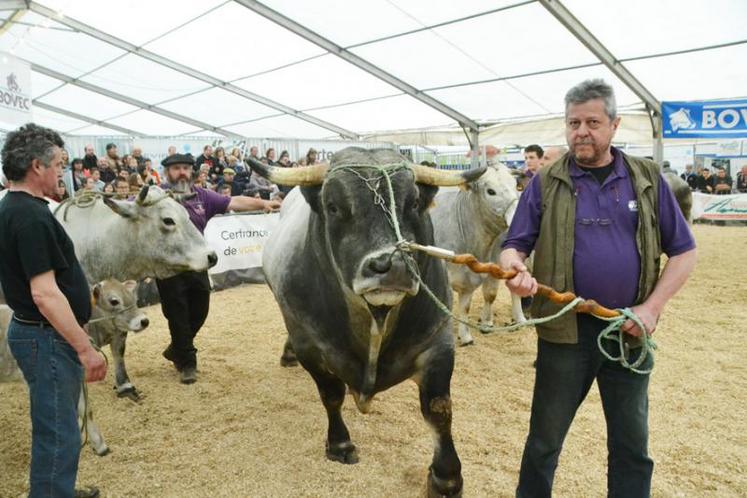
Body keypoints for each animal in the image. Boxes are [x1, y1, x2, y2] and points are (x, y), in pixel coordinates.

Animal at [251, 149, 486, 498]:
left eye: (413, 202)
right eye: (333, 206)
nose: (392, 265)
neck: (375, 320)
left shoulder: (437, 343)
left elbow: (439, 408)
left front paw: (446, 476)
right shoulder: (310, 346)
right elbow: (331, 395)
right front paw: (339, 444)